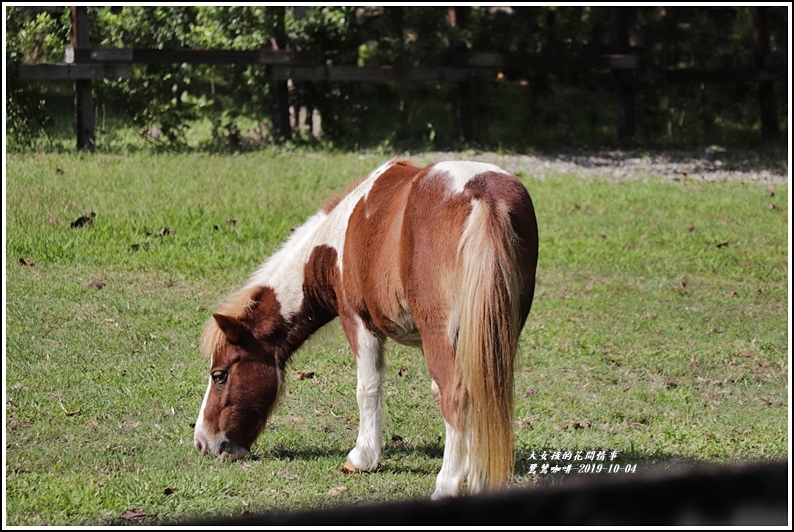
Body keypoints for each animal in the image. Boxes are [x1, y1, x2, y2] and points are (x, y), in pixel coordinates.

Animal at [193, 159, 540, 498]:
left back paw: (446, 484)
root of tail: (482, 195)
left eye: (219, 375)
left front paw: (362, 457)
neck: (337, 240)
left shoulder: (358, 321)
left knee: (457, 399)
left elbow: (368, 388)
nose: (202, 442)